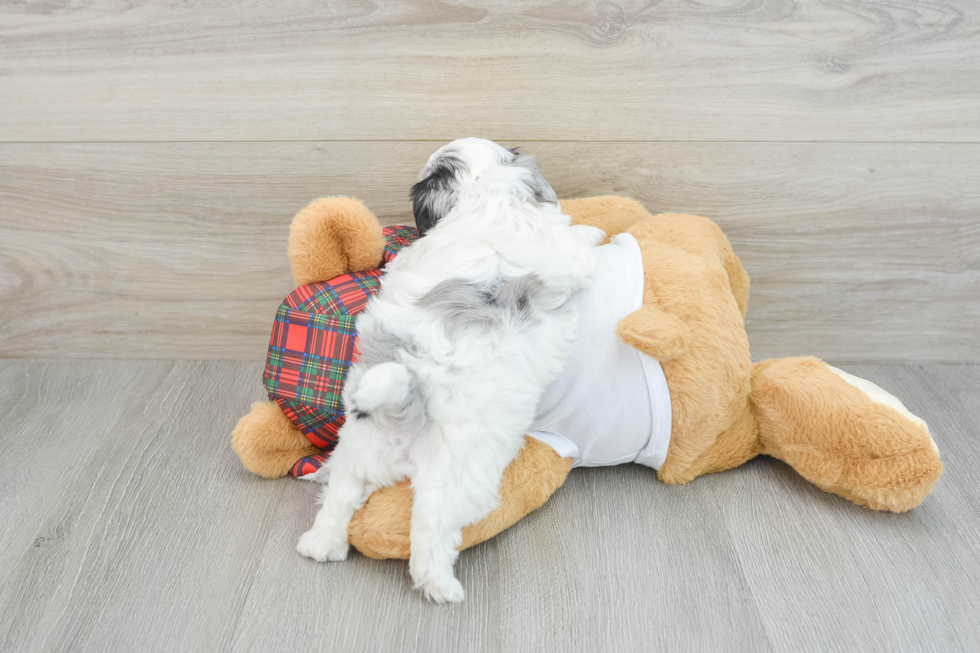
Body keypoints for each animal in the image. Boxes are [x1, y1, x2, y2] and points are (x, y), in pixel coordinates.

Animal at [296, 136, 604, 600]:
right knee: (431, 525)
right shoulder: (566, 250)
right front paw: (596, 230)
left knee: (341, 494)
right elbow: (580, 240)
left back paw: (319, 545)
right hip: (458, 476)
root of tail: (405, 404)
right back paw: (441, 585)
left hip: (360, 448)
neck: (489, 195)